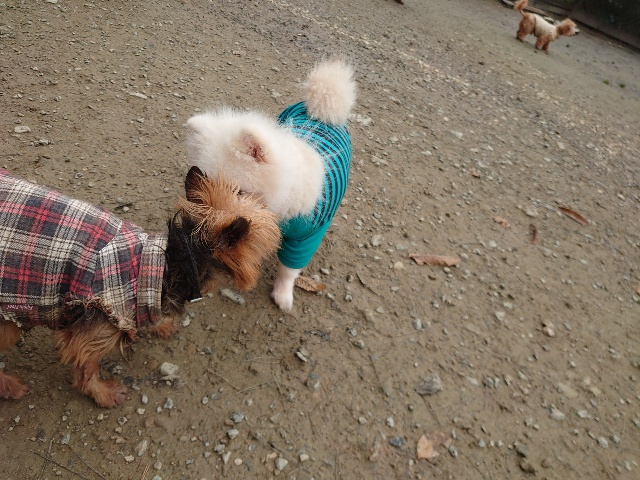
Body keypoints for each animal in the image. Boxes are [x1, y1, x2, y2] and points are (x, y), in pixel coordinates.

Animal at [0, 166, 280, 407]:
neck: (174, 262)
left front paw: (160, 324)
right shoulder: (97, 326)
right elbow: (86, 368)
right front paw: (102, 394)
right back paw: (9, 386)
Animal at [186, 58, 356, 311]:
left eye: (239, 191)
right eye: (208, 186)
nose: (214, 223)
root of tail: (322, 111)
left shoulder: (306, 238)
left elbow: (289, 269)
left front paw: (283, 295)